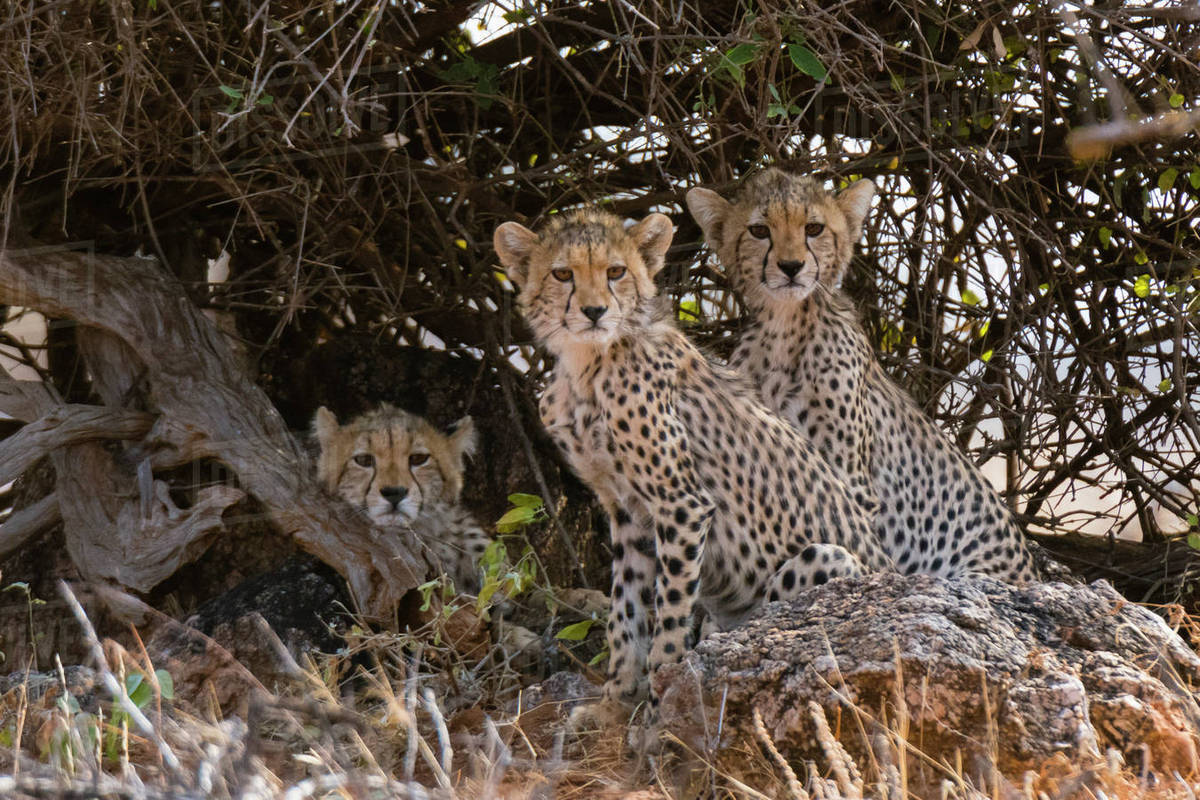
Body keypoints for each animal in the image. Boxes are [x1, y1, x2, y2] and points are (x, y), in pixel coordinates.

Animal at [493, 207, 895, 716]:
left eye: (615, 272)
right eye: (562, 274)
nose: (594, 311)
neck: (588, 363)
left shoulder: (681, 504)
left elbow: (669, 608)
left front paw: (660, 697)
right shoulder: (627, 511)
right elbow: (626, 609)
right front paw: (615, 700)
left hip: (827, 559)